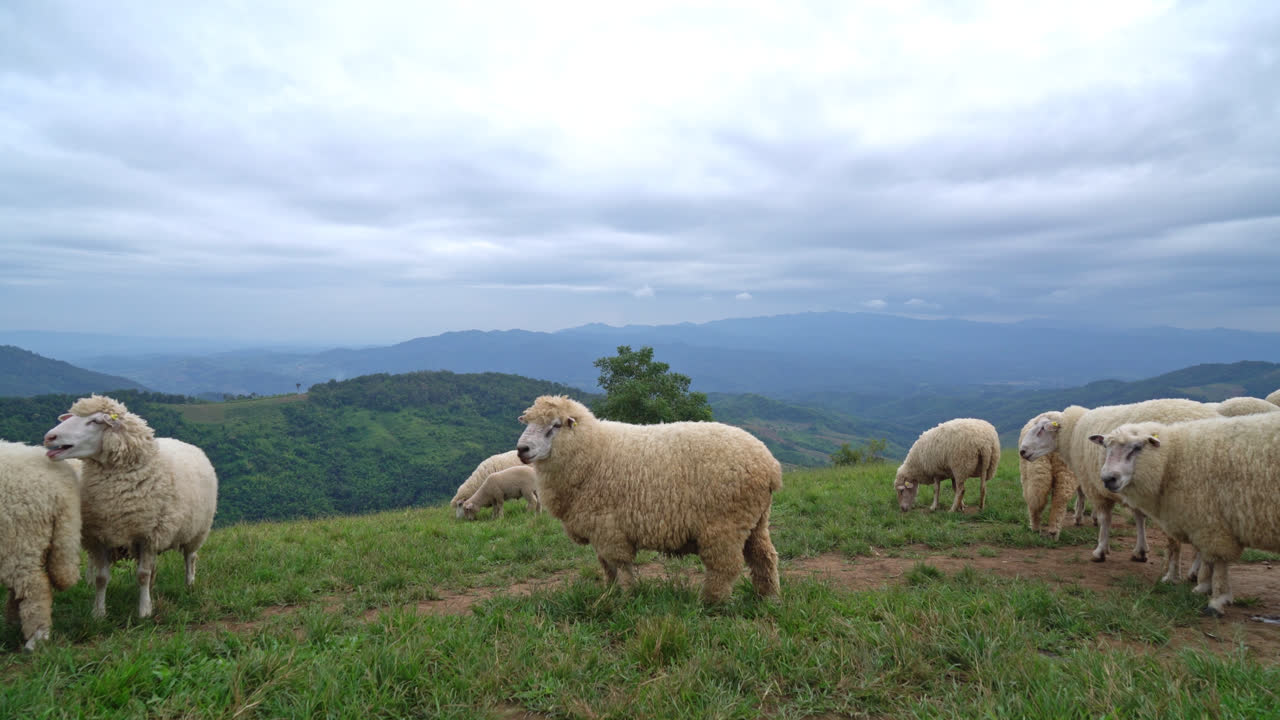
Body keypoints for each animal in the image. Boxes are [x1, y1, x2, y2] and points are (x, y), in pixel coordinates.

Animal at [43, 395, 218, 619]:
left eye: (95, 421)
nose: (50, 437)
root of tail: (180, 441)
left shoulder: (149, 535)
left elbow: (142, 575)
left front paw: (144, 611)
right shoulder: (100, 537)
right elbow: (102, 578)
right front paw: (98, 613)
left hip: (197, 530)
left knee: (190, 557)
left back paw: (189, 585)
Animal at [516, 395, 781, 604]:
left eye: (555, 425)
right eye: (528, 423)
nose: (522, 449)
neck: (593, 452)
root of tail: (770, 465)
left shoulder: (609, 528)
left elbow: (619, 565)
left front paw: (625, 595)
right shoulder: (597, 528)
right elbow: (606, 566)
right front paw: (609, 592)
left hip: (724, 524)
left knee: (725, 566)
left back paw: (710, 602)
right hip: (756, 520)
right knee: (764, 557)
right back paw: (768, 597)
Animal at [1090, 411, 1280, 616]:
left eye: (1137, 447)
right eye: (1105, 447)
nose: (1108, 479)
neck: (1171, 459)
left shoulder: (1211, 522)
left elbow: (1218, 561)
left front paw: (1217, 599)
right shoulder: (1202, 520)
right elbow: (1207, 558)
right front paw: (1203, 586)